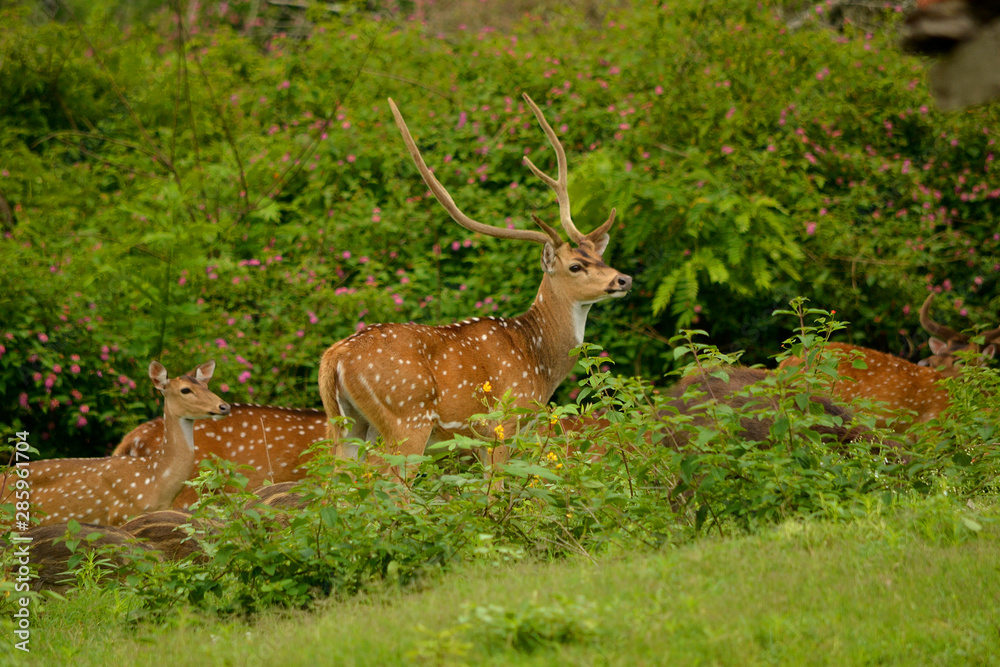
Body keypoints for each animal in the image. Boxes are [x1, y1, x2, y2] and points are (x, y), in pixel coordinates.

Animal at [317, 93, 632, 480]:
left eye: (600, 256)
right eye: (576, 266)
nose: (623, 279)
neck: (539, 362)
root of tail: (333, 359)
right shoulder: (502, 426)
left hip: (346, 423)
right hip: (406, 417)